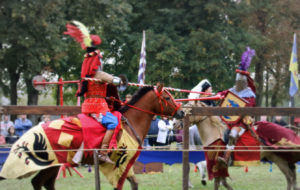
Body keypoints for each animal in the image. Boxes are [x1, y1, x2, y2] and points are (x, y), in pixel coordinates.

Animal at [0, 84, 184, 190]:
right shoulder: (121, 163)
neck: (131, 122)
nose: (181, 113)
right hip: (50, 164)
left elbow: (134, 183)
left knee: (43, 183)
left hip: (54, 165)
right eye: (166, 97)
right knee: (39, 183)